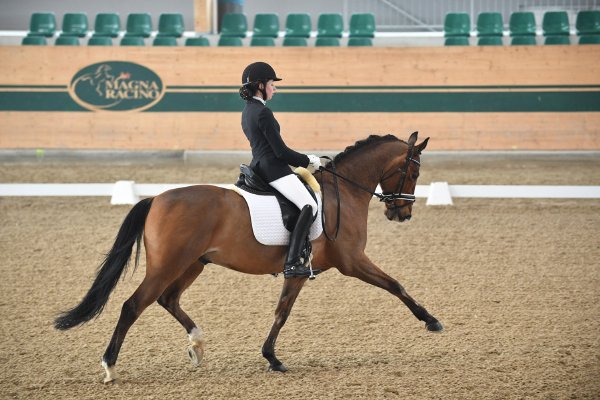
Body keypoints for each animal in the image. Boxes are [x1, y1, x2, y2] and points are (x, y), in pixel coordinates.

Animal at [54, 130, 442, 382]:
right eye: (414, 171)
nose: (401, 214)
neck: (342, 193)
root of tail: (157, 199)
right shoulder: (351, 261)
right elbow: (395, 285)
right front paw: (431, 320)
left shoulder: (299, 273)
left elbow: (282, 311)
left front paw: (271, 357)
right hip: (168, 265)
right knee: (134, 305)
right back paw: (110, 366)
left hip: (192, 264)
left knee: (168, 299)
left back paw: (196, 344)